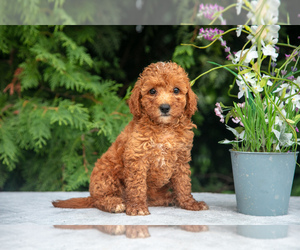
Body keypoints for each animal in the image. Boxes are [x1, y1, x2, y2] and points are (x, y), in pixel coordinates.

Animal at [52, 62, 209, 215]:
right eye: (152, 91)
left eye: (176, 90)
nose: (164, 107)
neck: (163, 128)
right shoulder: (137, 158)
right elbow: (137, 186)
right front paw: (137, 207)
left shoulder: (181, 158)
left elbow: (183, 183)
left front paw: (189, 203)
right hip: (106, 176)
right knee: (101, 199)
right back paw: (115, 204)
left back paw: (169, 199)